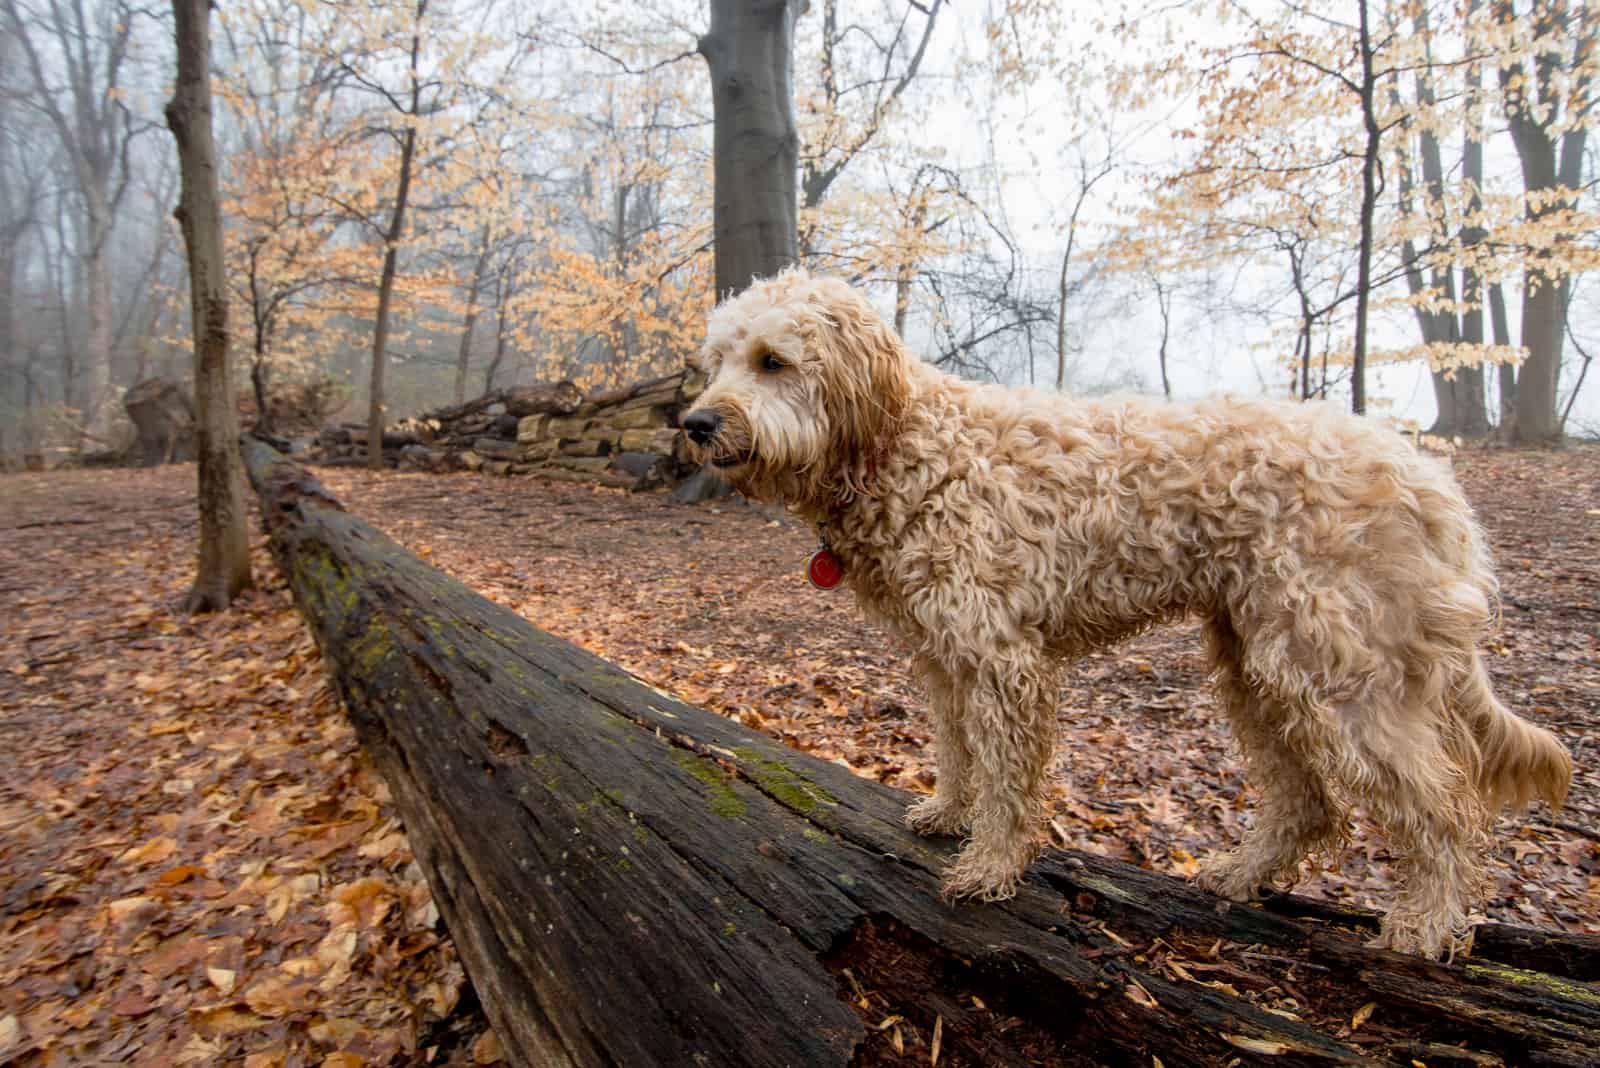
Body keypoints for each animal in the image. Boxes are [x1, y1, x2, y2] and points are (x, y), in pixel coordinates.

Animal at [681, 268, 1568, 959]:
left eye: (772, 361)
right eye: (716, 361)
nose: (693, 423)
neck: (908, 449)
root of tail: (1431, 479)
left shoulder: (1000, 658)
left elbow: (1007, 779)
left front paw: (990, 866)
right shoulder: (944, 656)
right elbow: (958, 750)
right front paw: (947, 811)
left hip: (1335, 670)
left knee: (1439, 805)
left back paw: (1426, 923)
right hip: (1257, 664)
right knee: (1309, 805)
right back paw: (1242, 874)